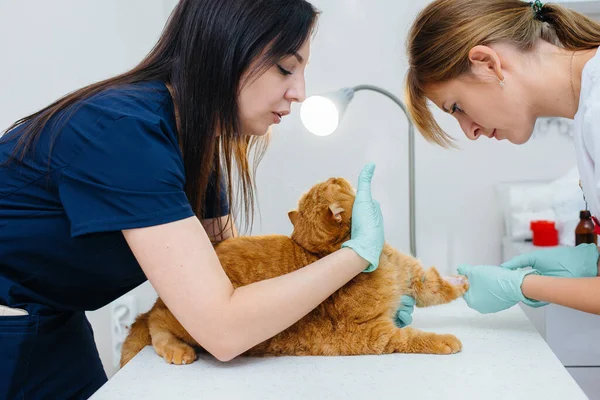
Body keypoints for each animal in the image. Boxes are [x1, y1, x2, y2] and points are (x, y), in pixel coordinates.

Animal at [120, 177, 468, 368]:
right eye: (333, 184)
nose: (335, 174)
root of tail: (158, 301)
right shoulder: (372, 333)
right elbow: (411, 337)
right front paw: (444, 340)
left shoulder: (413, 279)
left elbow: (436, 285)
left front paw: (463, 281)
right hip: (190, 320)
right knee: (155, 325)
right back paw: (177, 350)